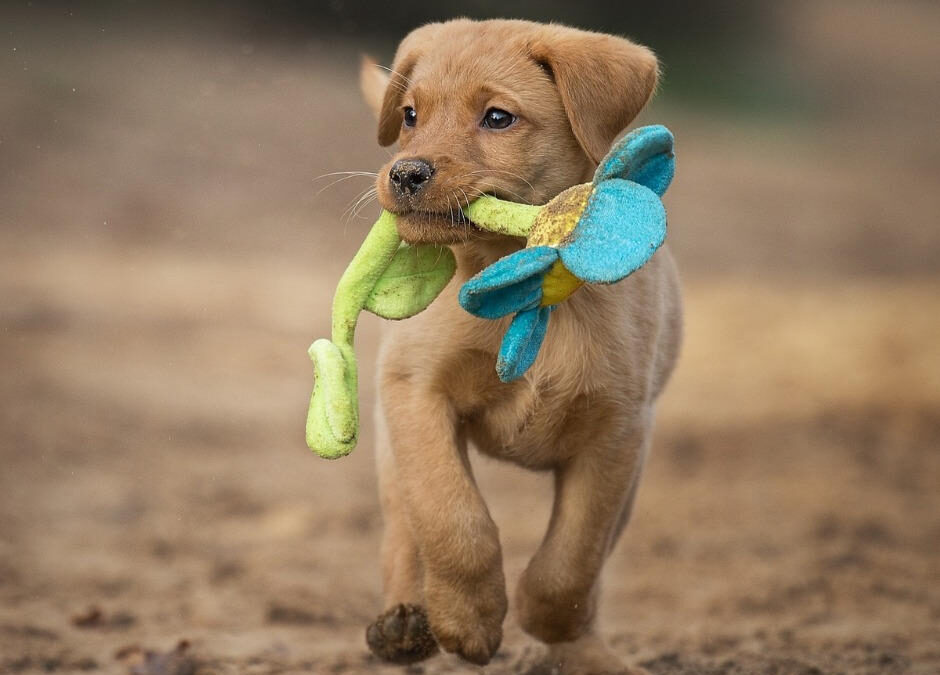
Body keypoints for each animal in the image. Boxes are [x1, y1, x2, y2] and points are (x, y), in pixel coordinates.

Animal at [356, 18, 680, 672]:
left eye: (498, 118)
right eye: (409, 115)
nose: (403, 174)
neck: (518, 273)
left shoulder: (616, 434)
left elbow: (574, 558)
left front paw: (547, 621)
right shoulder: (417, 393)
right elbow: (454, 521)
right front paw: (469, 621)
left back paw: (591, 652)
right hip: (388, 440)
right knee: (403, 529)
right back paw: (403, 624)